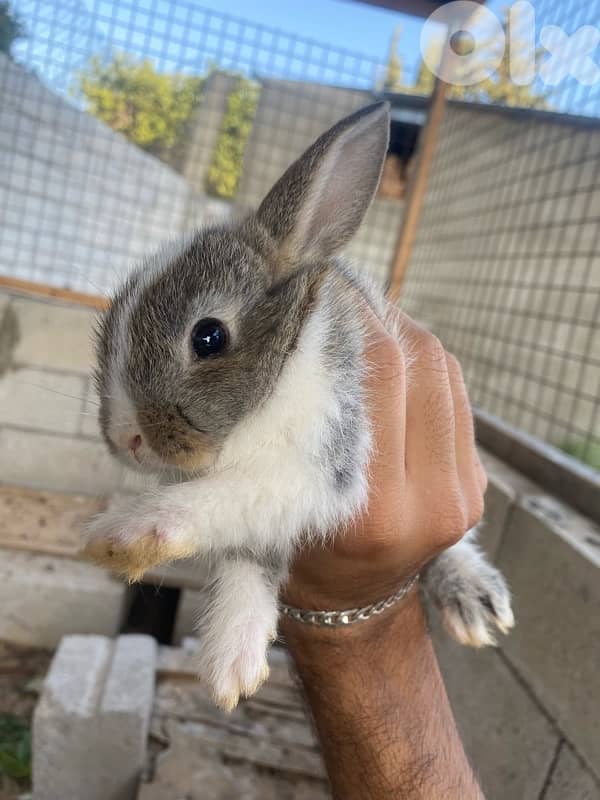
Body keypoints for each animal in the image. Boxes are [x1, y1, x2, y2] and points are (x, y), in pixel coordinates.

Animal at [84, 102, 514, 711]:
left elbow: (225, 497)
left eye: (208, 337)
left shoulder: (324, 466)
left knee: (454, 547)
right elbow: (248, 559)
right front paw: (232, 662)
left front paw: (124, 532)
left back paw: (474, 599)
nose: (126, 439)